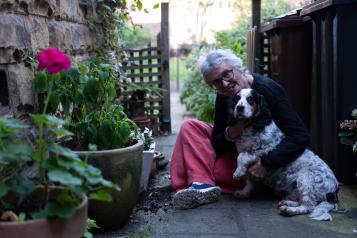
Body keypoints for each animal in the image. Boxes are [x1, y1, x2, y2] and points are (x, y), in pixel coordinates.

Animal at [229, 88, 338, 220]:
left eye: (250, 99)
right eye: (237, 98)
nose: (239, 108)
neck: (251, 127)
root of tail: (334, 190)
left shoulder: (267, 148)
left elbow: (242, 157)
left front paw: (237, 172)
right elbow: (249, 179)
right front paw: (244, 192)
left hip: (306, 179)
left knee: (309, 206)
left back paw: (289, 210)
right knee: (304, 201)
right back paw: (287, 203)